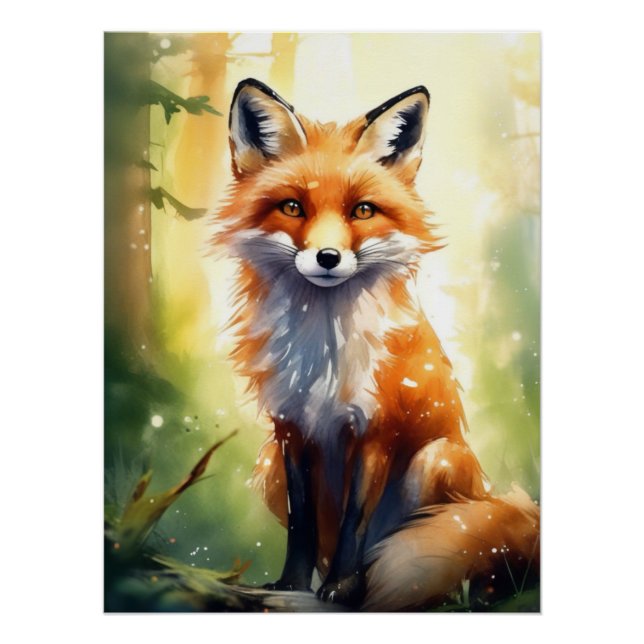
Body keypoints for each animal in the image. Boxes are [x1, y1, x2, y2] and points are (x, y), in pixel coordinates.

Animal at [215, 78, 540, 611]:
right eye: (293, 207)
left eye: (362, 210)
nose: (327, 257)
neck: (324, 350)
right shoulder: (289, 430)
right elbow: (302, 526)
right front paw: (290, 586)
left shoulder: (376, 429)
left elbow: (355, 523)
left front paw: (343, 590)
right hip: (268, 467)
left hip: (437, 460)